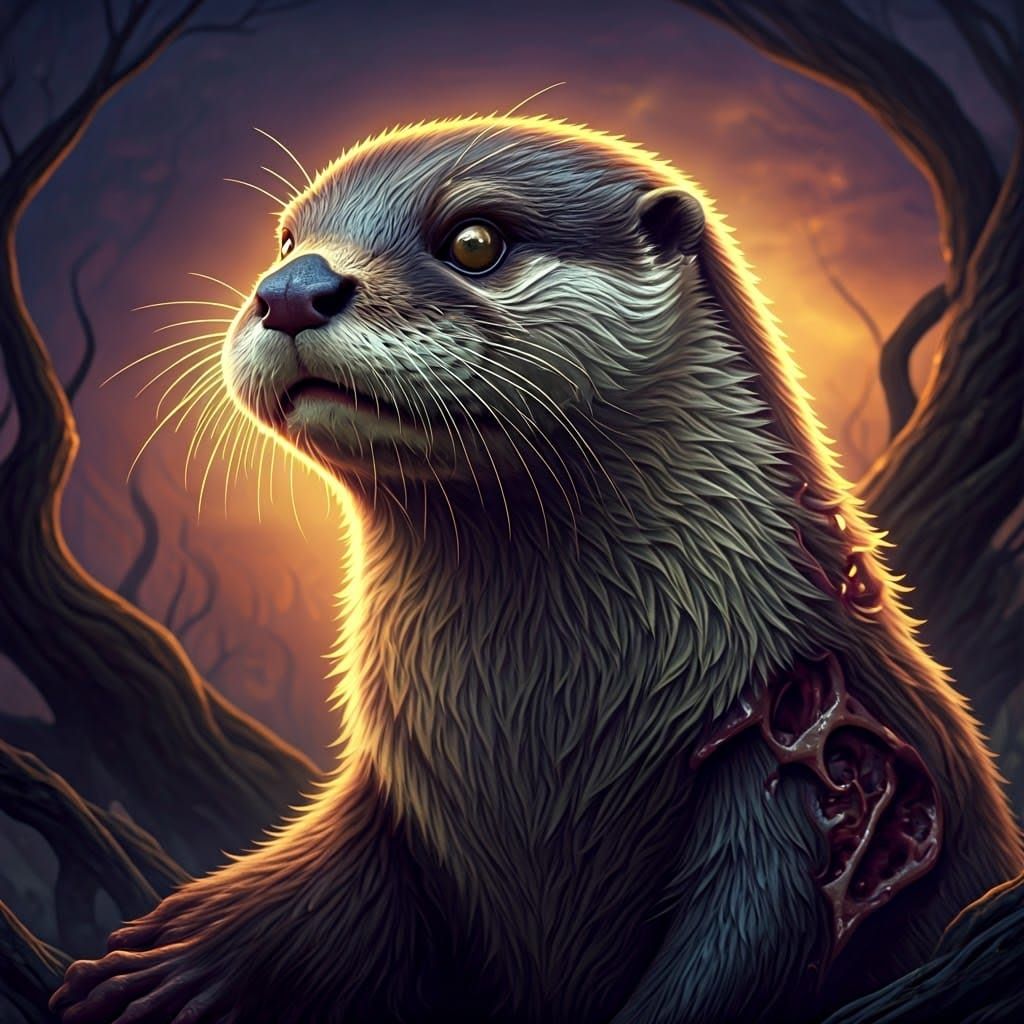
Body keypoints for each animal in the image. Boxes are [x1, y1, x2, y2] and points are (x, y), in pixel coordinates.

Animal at [52, 116, 1021, 1024]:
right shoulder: (395, 795)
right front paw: (179, 960)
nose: (290, 291)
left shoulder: (797, 733)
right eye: (287, 240)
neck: (544, 733)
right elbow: (324, 891)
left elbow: (751, 942)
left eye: (475, 240)